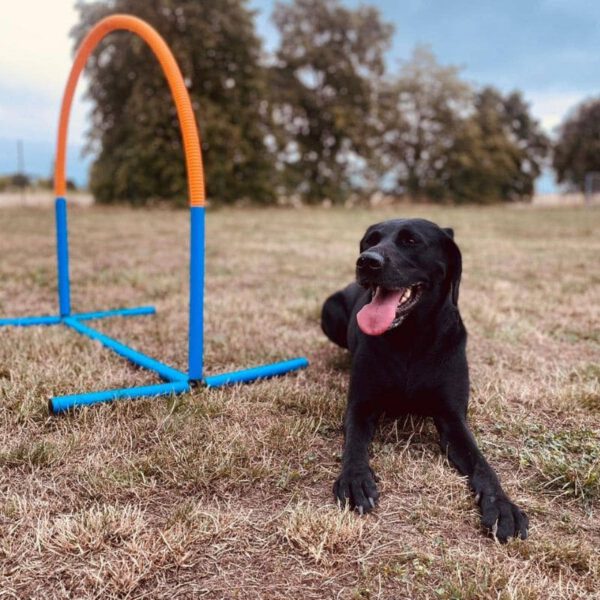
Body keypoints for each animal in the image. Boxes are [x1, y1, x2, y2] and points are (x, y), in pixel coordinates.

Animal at [322, 218, 528, 540]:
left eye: (411, 241)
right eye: (371, 240)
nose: (366, 261)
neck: (411, 337)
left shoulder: (452, 417)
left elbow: (482, 464)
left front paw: (502, 505)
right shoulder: (360, 406)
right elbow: (354, 444)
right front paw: (355, 479)